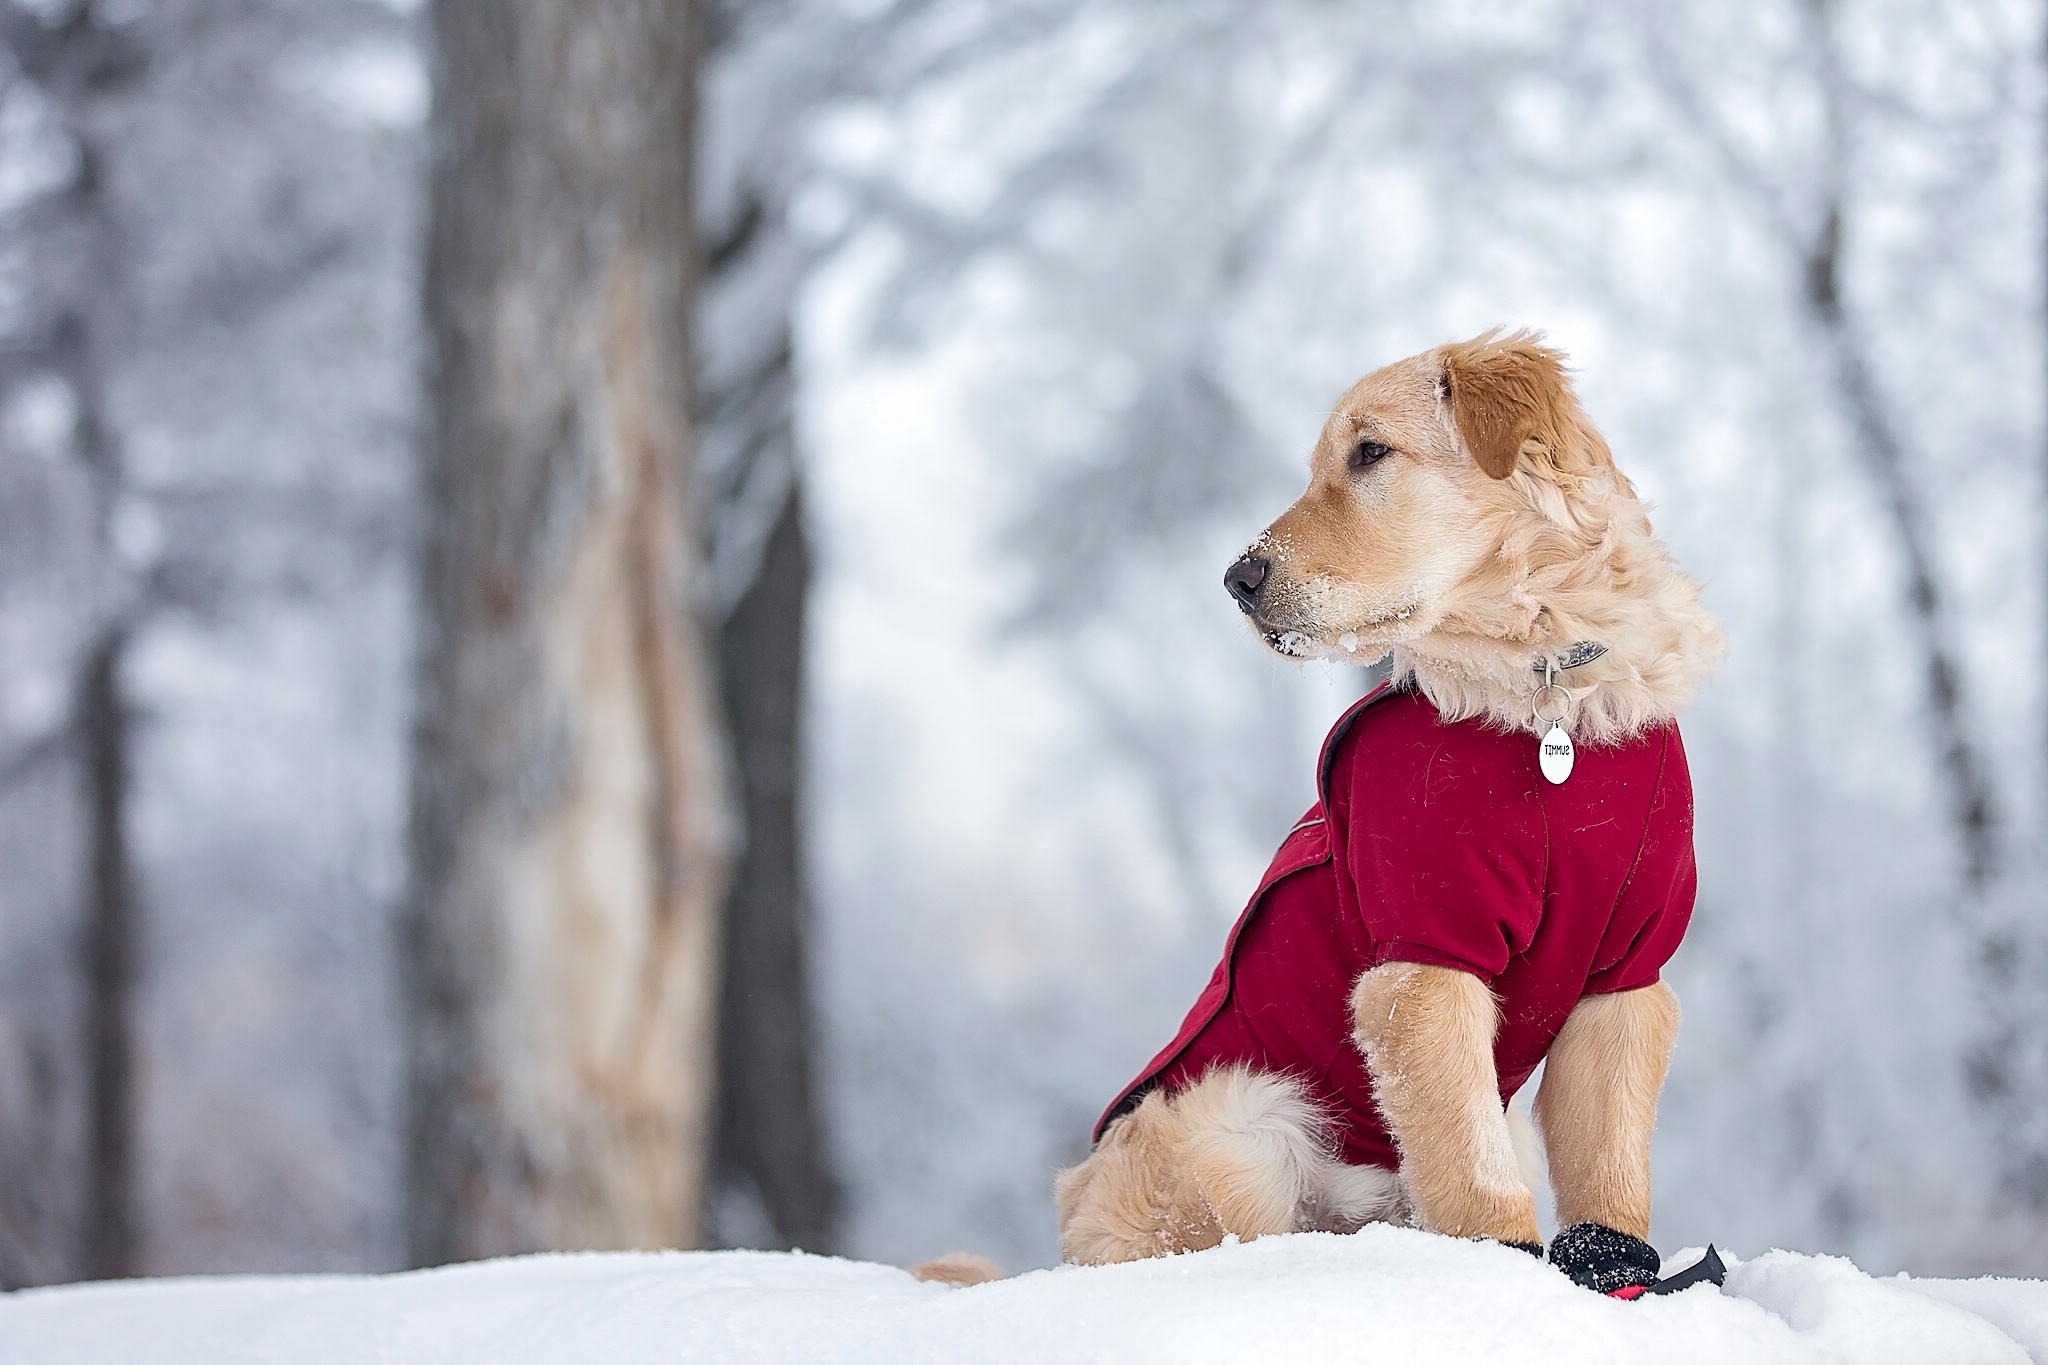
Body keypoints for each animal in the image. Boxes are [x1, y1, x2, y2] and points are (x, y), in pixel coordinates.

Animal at [1048, 331, 1720, 1293]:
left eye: (1369, 453)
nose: (1237, 578)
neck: (1543, 698)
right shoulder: (1425, 957)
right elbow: (1471, 1174)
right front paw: (1504, 1273)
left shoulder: (1626, 973)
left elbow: (1611, 1166)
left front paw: (1614, 1276)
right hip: (1244, 1123)